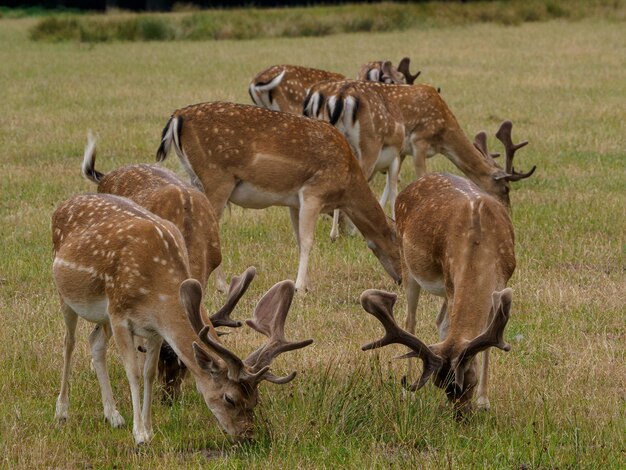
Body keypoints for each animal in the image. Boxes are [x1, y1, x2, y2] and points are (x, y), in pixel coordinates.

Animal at [51, 194, 312, 444]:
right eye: (229, 398)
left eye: (255, 399)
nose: (248, 435)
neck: (156, 290)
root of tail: (63, 204)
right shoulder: (119, 315)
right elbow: (133, 373)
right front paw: (139, 434)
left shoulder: (154, 328)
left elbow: (149, 373)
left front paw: (149, 430)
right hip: (67, 296)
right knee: (68, 342)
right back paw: (62, 411)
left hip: (101, 314)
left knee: (94, 341)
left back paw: (113, 415)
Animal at [155, 101, 400, 290]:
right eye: (398, 243)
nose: (400, 279)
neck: (347, 184)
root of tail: (177, 117)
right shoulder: (314, 191)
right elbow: (308, 240)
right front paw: (299, 287)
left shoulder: (294, 201)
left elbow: (299, 239)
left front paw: (306, 285)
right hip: (217, 178)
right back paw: (222, 286)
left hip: (196, 179)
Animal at [302, 81, 532, 209]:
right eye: (506, 188)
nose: (507, 211)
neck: (443, 134)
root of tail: (340, 96)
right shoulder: (419, 140)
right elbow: (421, 176)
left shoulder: (401, 151)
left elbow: (390, 185)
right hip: (368, 145)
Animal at [358, 123, 528, 414]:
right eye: (442, 384)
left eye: (468, 380)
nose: (461, 415)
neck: (480, 244)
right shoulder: (450, 279)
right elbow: (449, 327)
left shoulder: (502, 280)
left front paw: (485, 400)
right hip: (408, 265)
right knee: (411, 320)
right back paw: (407, 395)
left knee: (437, 320)